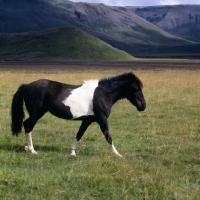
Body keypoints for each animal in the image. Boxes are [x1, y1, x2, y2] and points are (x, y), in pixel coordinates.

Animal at [10, 72, 146, 156]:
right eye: (135, 88)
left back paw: (27, 147)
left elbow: (79, 134)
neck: (103, 93)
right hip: (36, 114)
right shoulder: (102, 119)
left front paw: (72, 152)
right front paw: (117, 154)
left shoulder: (87, 120)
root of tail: (27, 85)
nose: (143, 106)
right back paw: (32, 150)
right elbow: (108, 135)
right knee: (28, 126)